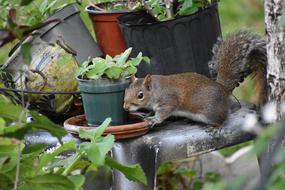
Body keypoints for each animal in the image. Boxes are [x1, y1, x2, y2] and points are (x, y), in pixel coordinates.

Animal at [122, 30, 266, 127]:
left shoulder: (168, 101)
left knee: (222, 119)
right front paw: (148, 114)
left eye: (140, 95)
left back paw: (215, 127)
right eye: (126, 91)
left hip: (210, 111)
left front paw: (155, 119)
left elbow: (164, 112)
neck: (156, 91)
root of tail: (223, 89)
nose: (126, 108)